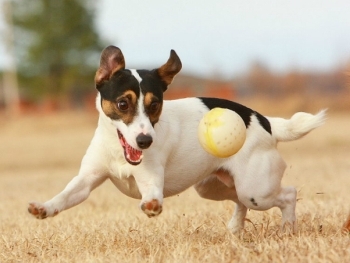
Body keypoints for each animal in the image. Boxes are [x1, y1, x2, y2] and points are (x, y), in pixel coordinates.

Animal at [27, 46, 326, 234]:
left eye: (155, 105)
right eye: (123, 104)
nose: (145, 141)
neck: (118, 150)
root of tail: (266, 121)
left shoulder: (150, 179)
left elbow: (151, 196)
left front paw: (151, 207)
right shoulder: (86, 180)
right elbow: (64, 197)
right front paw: (44, 208)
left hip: (257, 190)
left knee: (288, 194)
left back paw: (287, 229)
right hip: (215, 187)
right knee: (240, 201)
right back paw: (235, 229)